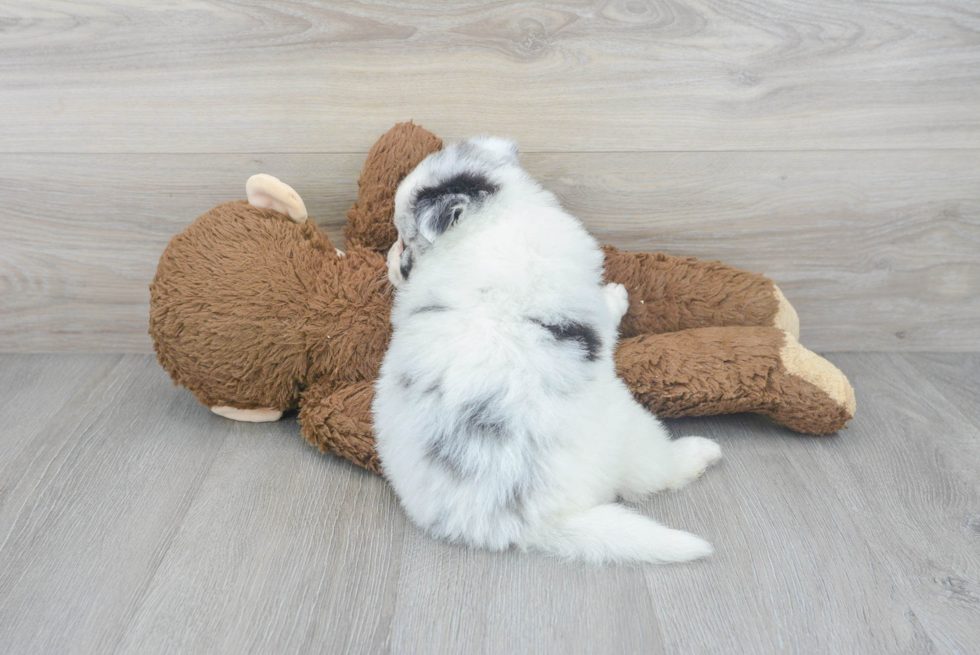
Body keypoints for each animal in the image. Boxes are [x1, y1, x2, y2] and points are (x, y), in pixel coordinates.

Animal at [372, 138, 724, 564]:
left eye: (404, 242)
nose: (388, 258)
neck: (493, 220)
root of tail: (535, 520)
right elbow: (607, 315)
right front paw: (617, 296)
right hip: (629, 428)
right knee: (654, 471)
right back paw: (701, 452)